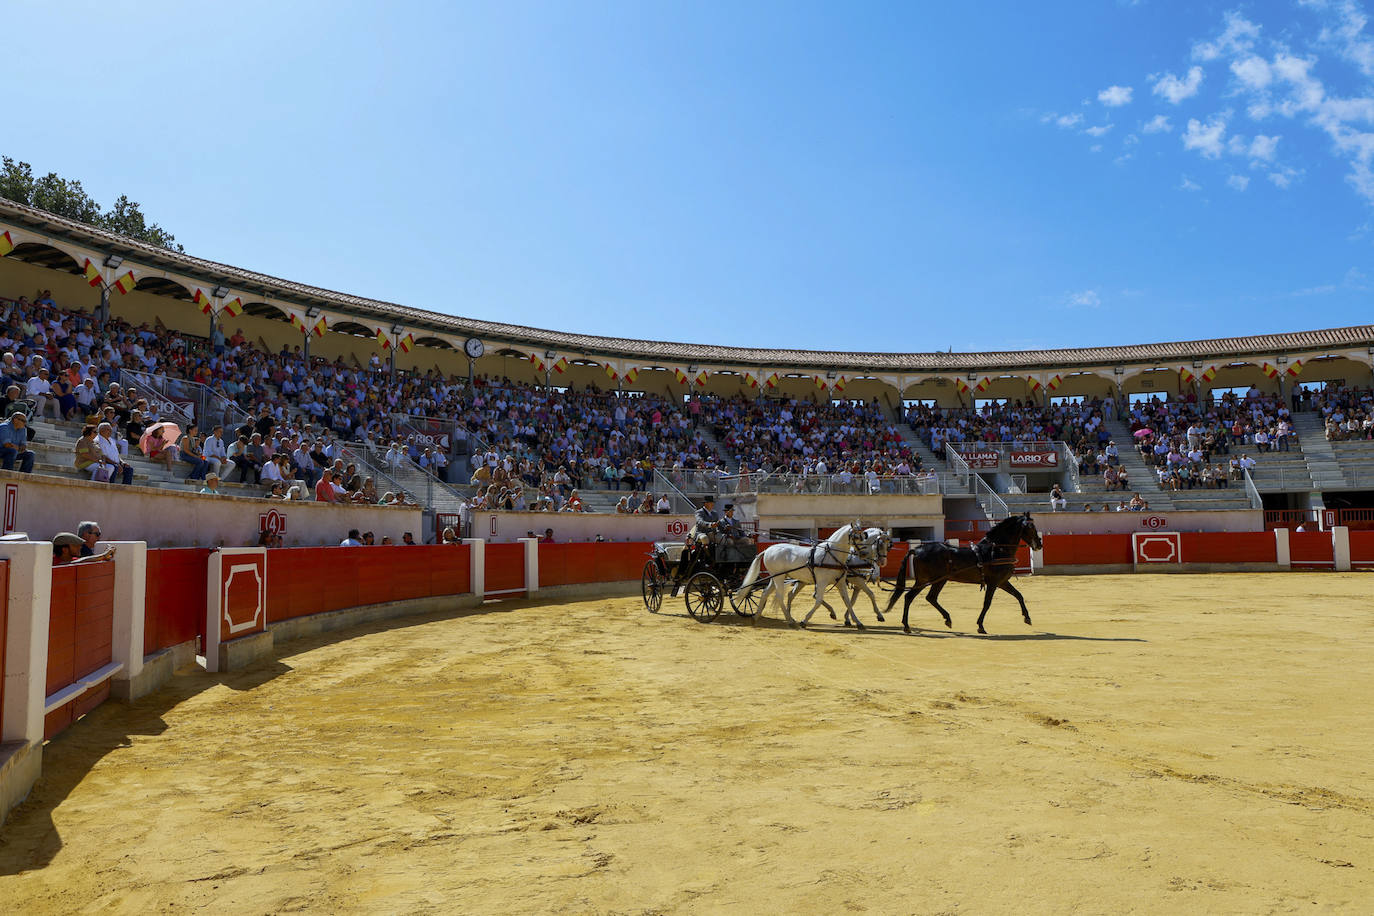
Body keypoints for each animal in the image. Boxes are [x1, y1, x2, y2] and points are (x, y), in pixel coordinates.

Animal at [741, 521, 890, 631]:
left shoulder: (841, 582)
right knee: (780, 596)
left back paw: (756, 617)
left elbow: (848, 601)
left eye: (864, 536)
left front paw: (857, 622)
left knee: (766, 593)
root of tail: (768, 549)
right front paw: (805, 620)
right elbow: (818, 600)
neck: (832, 555)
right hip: (779, 578)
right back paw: (790, 620)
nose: (863, 554)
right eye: (857, 537)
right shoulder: (826, 581)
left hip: (777, 577)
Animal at [879, 516, 1038, 637]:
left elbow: (1019, 595)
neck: (997, 550)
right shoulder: (993, 583)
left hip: (936, 581)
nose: (1039, 544)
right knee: (912, 597)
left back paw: (945, 620)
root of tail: (917, 549)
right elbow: (987, 603)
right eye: (1031, 527)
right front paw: (980, 626)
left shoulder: (1002, 582)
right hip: (929, 580)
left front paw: (1027, 617)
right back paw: (907, 626)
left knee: (928, 597)